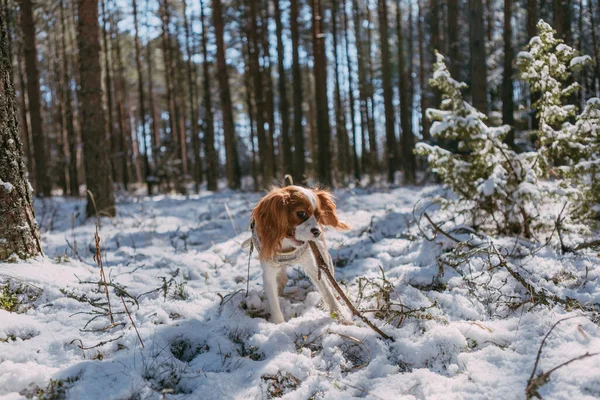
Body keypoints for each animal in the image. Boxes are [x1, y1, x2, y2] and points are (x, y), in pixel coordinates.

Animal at [250, 186, 352, 324]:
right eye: (301, 213)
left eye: (318, 216)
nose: (318, 231)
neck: (286, 244)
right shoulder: (268, 272)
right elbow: (273, 301)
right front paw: (278, 323)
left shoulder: (313, 266)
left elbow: (326, 290)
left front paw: (340, 315)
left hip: (323, 255)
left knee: (330, 280)